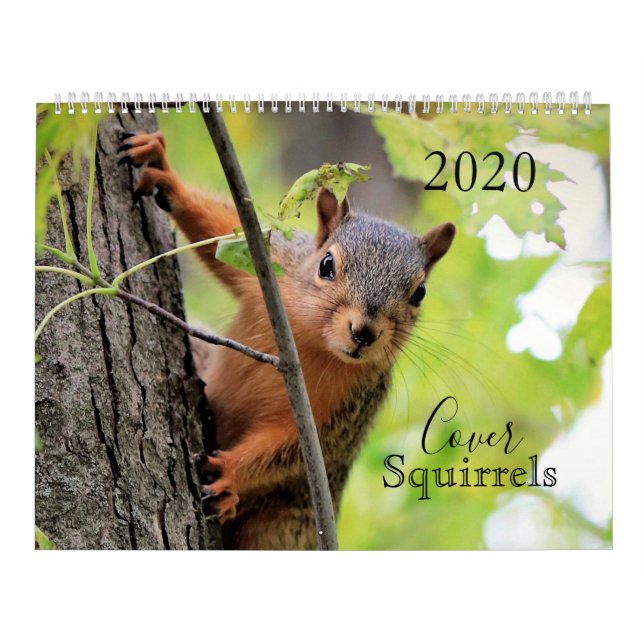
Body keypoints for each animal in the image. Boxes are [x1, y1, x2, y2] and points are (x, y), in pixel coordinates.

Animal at [117, 130, 456, 549]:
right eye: (326, 265)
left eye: (419, 293)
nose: (364, 332)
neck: (311, 343)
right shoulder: (274, 267)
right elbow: (223, 232)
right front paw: (163, 171)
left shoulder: (344, 410)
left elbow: (291, 447)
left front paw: (229, 473)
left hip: (284, 529)